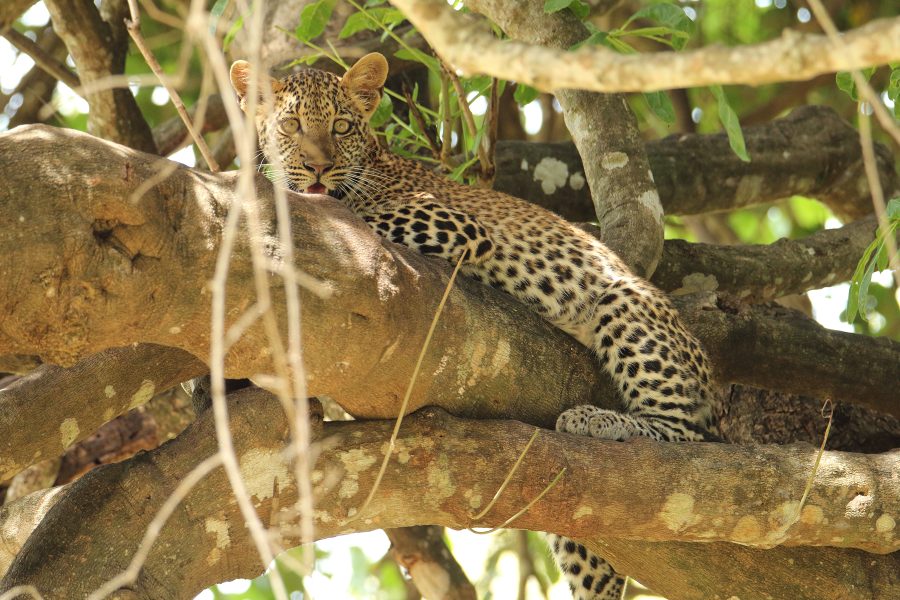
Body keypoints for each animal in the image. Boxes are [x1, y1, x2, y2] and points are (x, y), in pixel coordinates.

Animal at [230, 52, 716, 600]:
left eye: (341, 126)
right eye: (290, 125)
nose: (317, 167)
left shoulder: (451, 222)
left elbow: (348, 213)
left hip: (626, 303)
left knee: (687, 435)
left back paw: (600, 420)